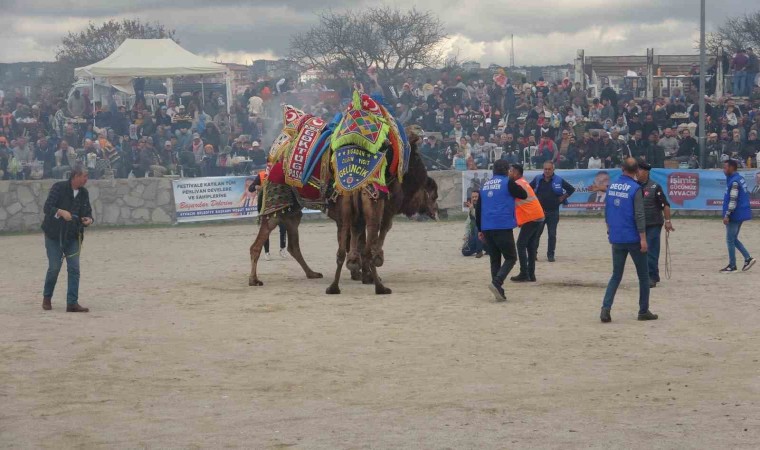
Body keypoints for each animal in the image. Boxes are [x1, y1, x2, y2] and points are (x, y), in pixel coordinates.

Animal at [249, 93, 440, 294]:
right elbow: (374, 235)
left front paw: (360, 272)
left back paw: (312, 273)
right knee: (259, 242)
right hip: (278, 202)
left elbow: (356, 238)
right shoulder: (382, 207)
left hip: (293, 210)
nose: (436, 210)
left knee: (293, 245)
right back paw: (254, 279)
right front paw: (368, 271)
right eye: (433, 194)